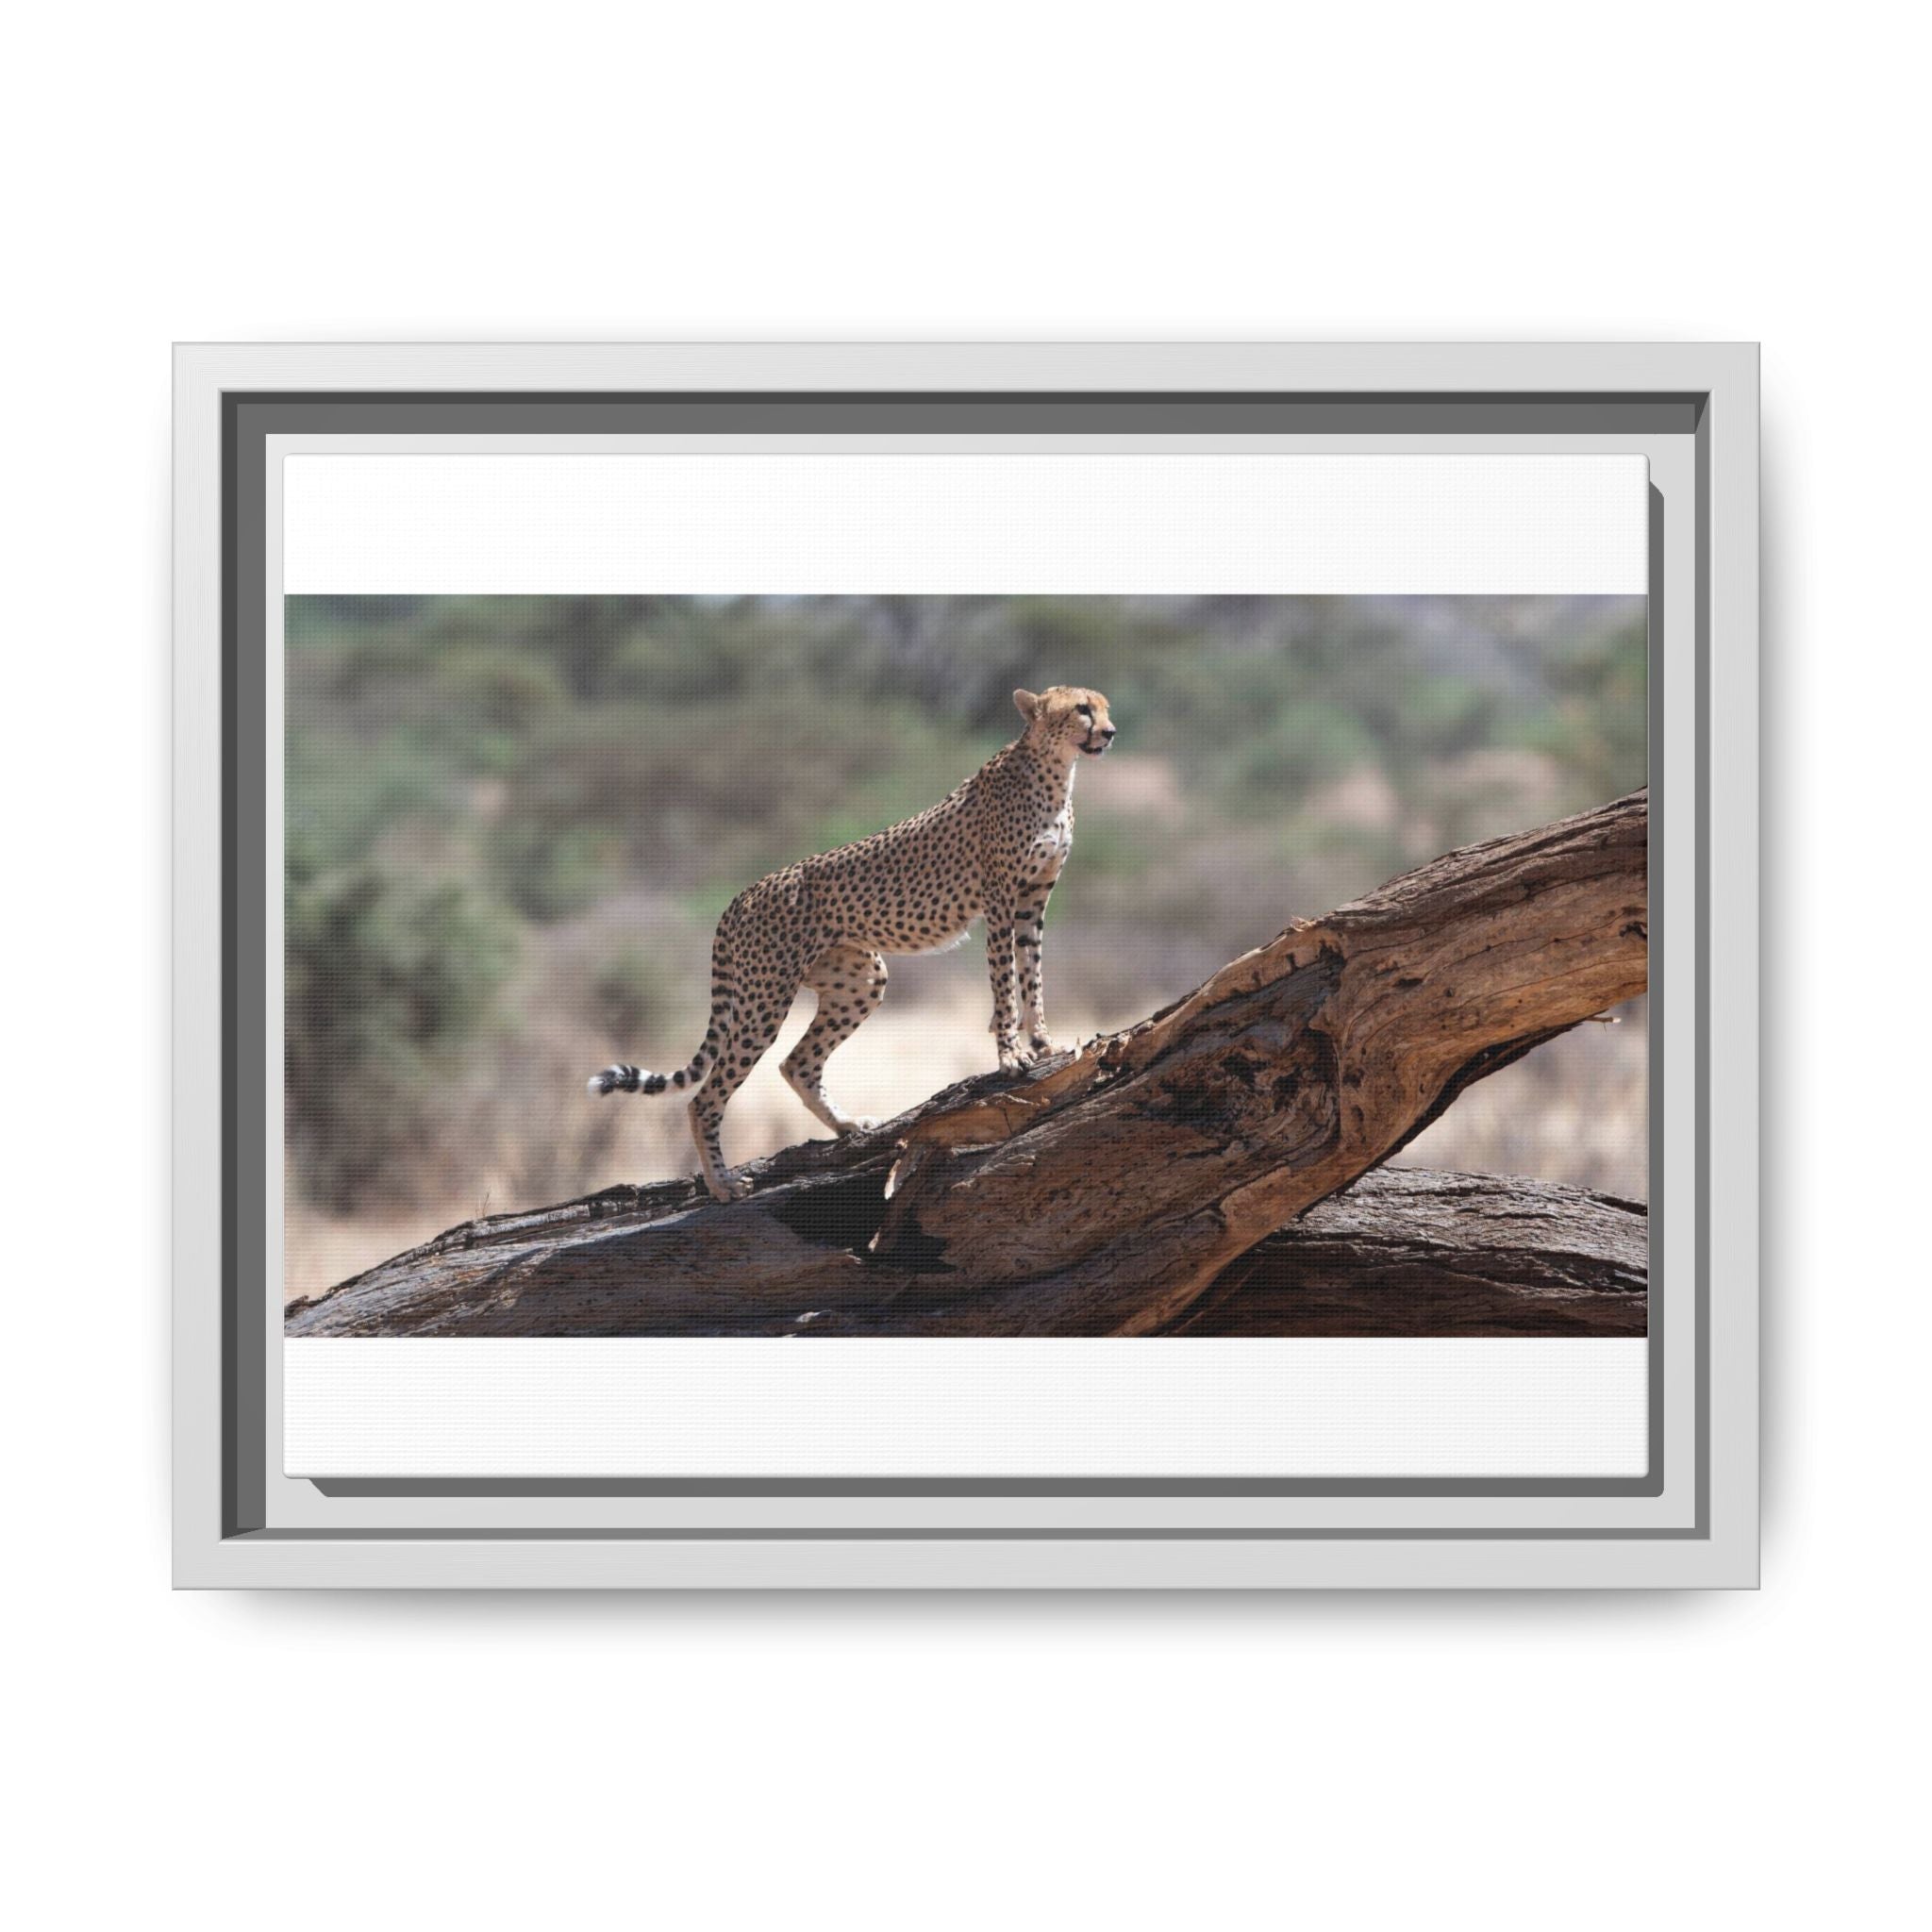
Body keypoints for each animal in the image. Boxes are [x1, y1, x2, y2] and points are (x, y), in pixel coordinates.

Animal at [588, 684, 1117, 1202]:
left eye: (1104, 707)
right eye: (1081, 709)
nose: (1110, 732)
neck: (1055, 771)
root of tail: (742, 894)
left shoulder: (1032, 902)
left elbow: (1032, 975)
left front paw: (1044, 1042)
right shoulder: (1001, 901)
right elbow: (1005, 984)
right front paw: (1011, 1056)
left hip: (860, 979)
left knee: (797, 1064)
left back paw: (846, 1126)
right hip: (765, 997)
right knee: (706, 1096)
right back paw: (723, 1184)